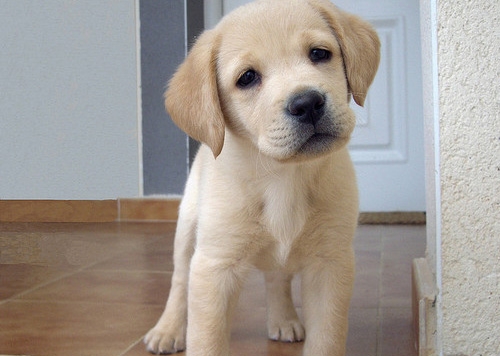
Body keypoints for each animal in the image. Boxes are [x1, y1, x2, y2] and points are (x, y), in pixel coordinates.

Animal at [145, 0, 378, 356]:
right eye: (247, 78)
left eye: (319, 53)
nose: (308, 103)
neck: (282, 176)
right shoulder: (215, 266)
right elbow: (207, 340)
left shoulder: (331, 262)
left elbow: (326, 338)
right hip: (187, 228)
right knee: (179, 280)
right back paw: (167, 330)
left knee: (276, 277)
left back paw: (283, 319)